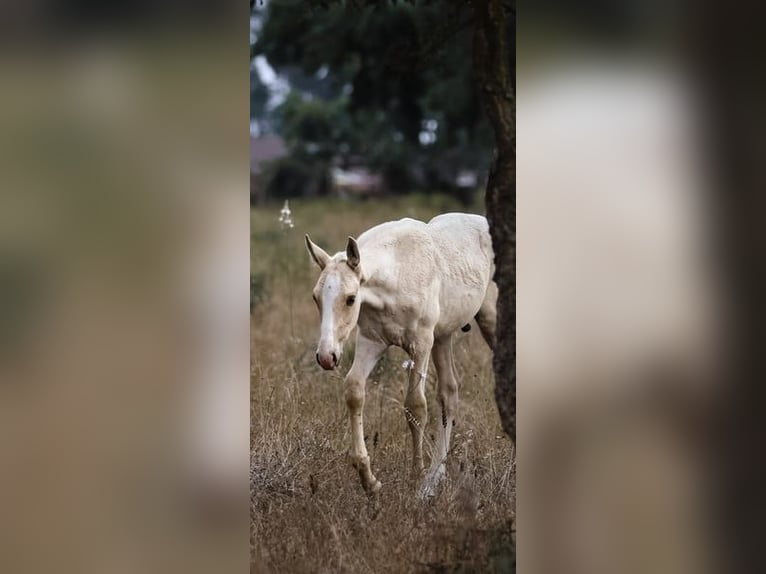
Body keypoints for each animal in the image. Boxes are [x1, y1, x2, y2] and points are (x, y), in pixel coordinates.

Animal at [306, 214, 498, 498]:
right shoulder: (371, 342)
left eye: (351, 298)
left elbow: (415, 406)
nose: (326, 356)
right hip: (443, 337)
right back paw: (434, 478)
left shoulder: (421, 344)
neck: (396, 272)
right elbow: (354, 391)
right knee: (449, 393)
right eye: (316, 297)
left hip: (488, 320)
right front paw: (370, 481)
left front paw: (416, 479)